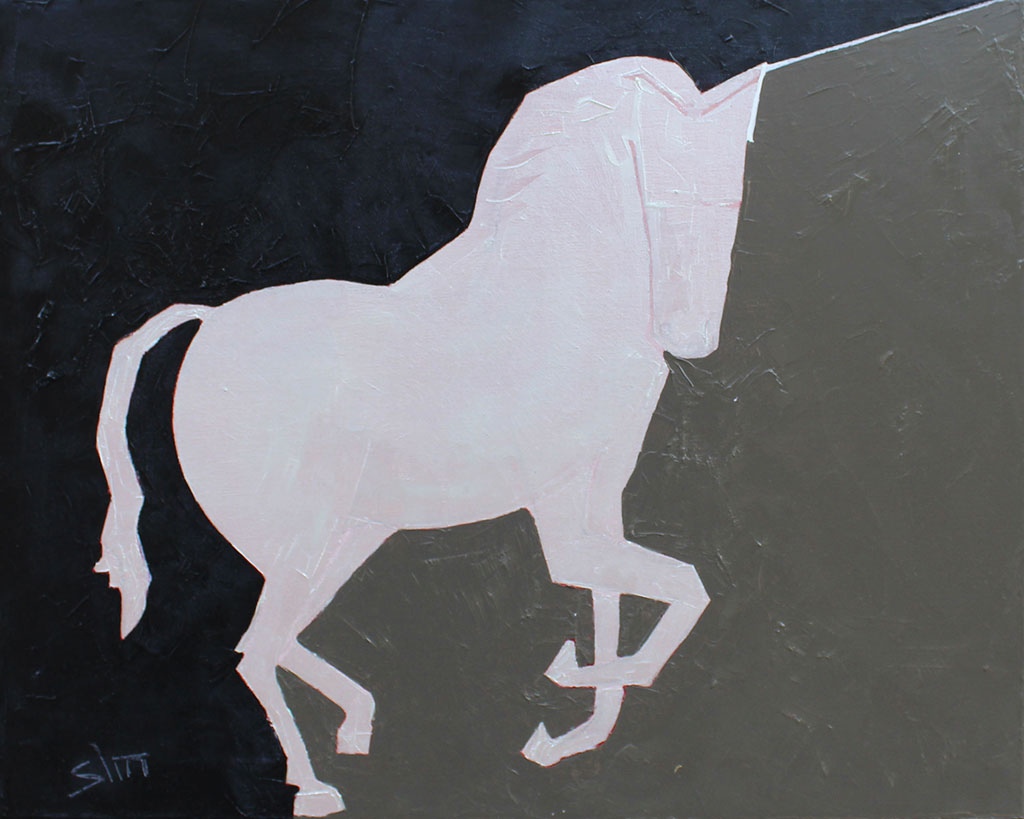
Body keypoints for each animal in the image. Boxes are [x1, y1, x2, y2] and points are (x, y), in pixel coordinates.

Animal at [95, 56, 763, 816]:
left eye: (731, 204)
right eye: (669, 193)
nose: (692, 335)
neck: (563, 294)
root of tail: (205, 321)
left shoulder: (599, 497)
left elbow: (618, 608)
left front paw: (567, 732)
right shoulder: (564, 512)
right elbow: (682, 589)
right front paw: (574, 682)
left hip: (346, 537)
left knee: (272, 640)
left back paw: (354, 724)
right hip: (305, 543)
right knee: (260, 646)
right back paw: (317, 784)